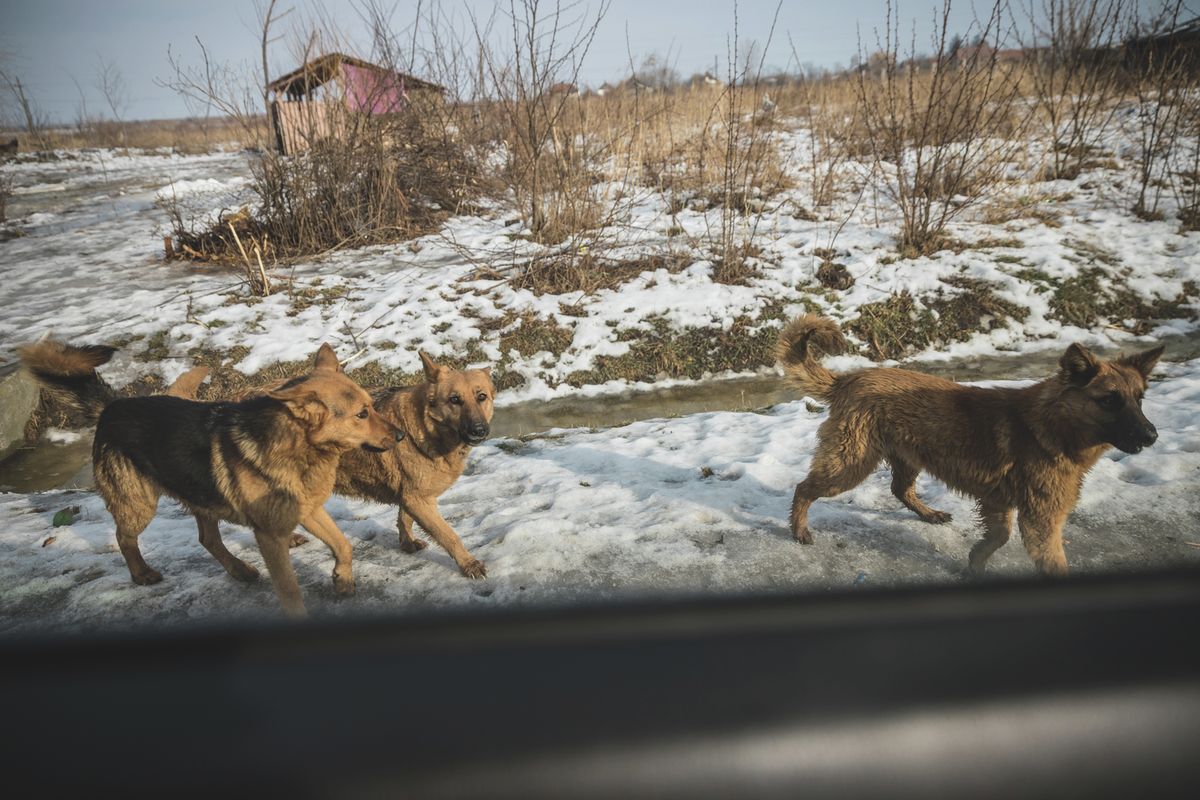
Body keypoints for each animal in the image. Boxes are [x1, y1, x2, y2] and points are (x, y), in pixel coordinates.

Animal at [18, 340, 403, 618]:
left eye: (372, 405)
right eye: (362, 414)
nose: (401, 436)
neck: (298, 446)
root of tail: (113, 406)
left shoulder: (308, 510)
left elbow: (343, 544)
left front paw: (342, 579)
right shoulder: (270, 537)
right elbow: (290, 589)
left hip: (202, 496)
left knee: (207, 539)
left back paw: (240, 569)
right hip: (139, 504)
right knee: (124, 537)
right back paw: (142, 573)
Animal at [333, 352, 492, 578]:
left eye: (482, 397)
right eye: (454, 400)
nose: (479, 430)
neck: (427, 427)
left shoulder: (410, 495)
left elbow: (404, 518)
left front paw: (407, 543)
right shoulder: (419, 501)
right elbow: (449, 535)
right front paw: (468, 564)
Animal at [777, 316, 1161, 578]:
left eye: (1139, 398)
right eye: (1109, 400)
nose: (1152, 436)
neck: (1050, 424)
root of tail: (848, 379)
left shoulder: (998, 502)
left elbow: (999, 536)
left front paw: (976, 562)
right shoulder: (1041, 521)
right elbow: (1047, 558)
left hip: (908, 456)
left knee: (900, 489)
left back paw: (928, 513)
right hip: (849, 464)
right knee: (804, 488)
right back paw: (799, 530)